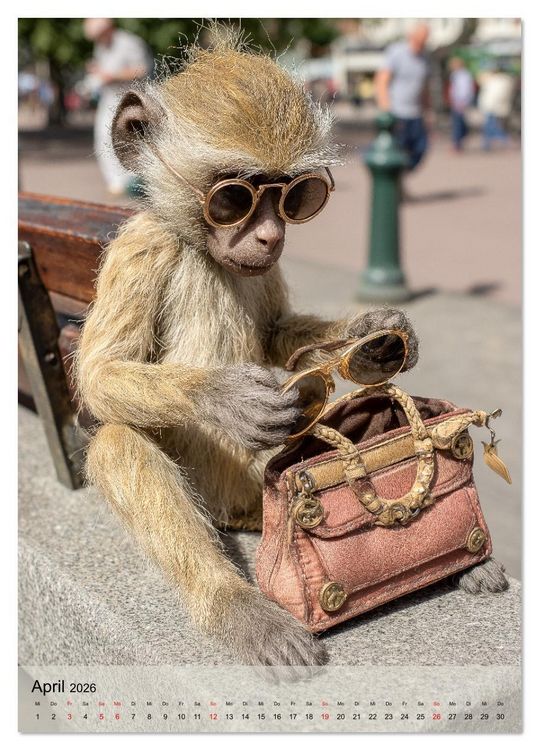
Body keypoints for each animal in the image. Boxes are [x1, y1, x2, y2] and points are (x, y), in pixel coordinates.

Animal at [75, 31, 507, 670]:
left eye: (296, 197)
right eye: (233, 198)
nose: (269, 234)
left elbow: (279, 331)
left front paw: (372, 338)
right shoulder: (145, 246)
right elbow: (100, 375)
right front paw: (227, 397)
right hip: (232, 493)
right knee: (117, 438)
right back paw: (234, 602)